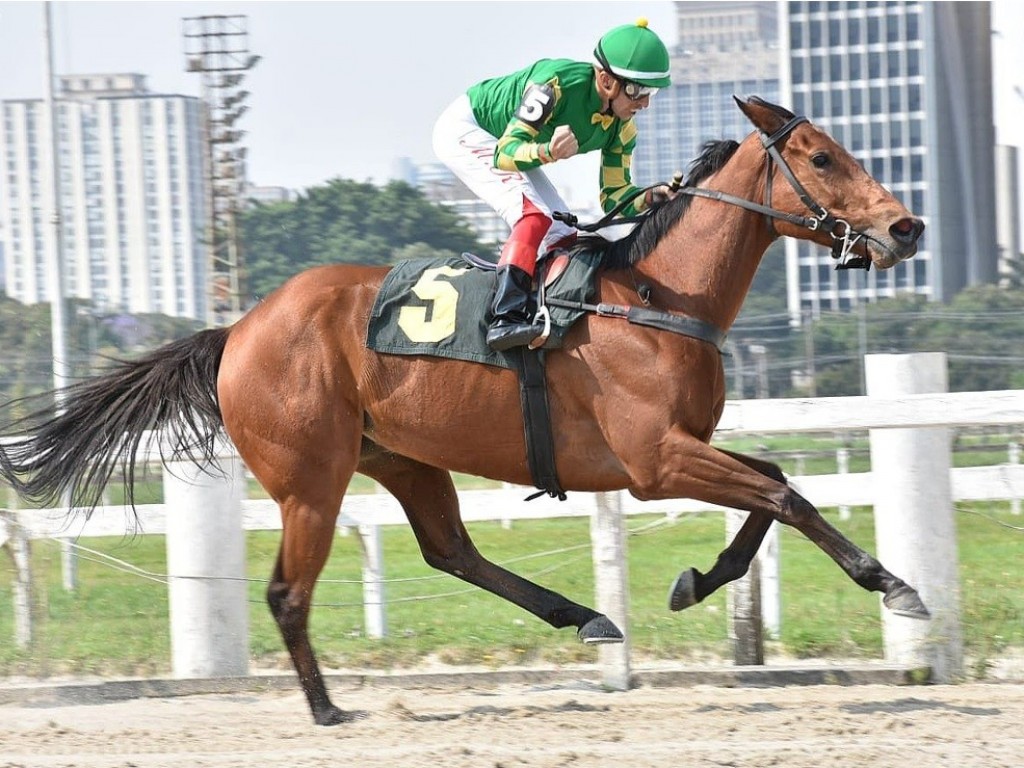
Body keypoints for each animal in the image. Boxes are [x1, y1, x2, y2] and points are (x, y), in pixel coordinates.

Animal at [0, 97, 929, 729]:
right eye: (821, 156)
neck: (657, 296)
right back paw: (326, 708)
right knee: (288, 592)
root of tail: (239, 329)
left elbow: (771, 486)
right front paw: (894, 585)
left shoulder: (682, 448)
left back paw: (585, 616)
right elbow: (784, 495)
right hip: (311, 479)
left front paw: (697, 579)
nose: (907, 227)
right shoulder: (655, 462)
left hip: (402, 457)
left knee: (451, 550)